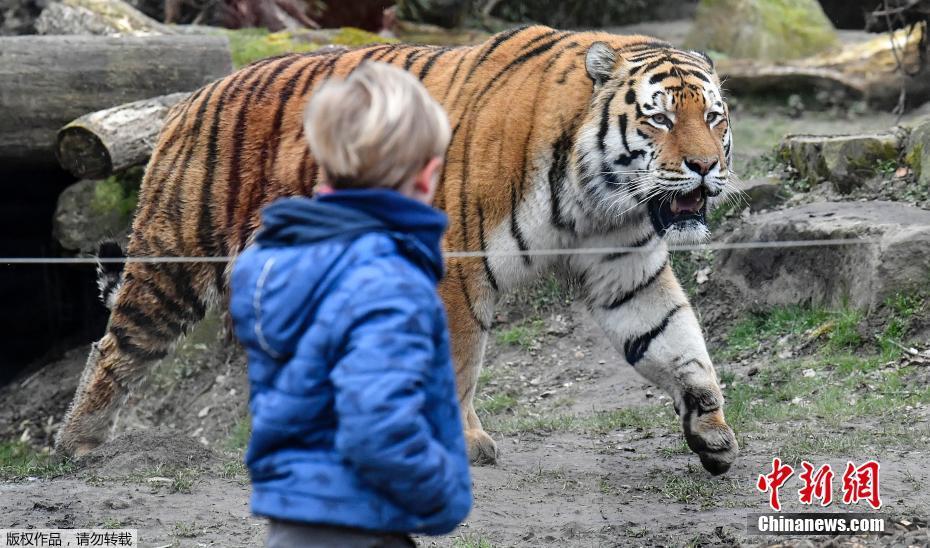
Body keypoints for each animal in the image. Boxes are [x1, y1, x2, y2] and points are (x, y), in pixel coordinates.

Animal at [56, 25, 740, 474]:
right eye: (658, 118)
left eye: (713, 117)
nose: (706, 167)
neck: (596, 197)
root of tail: (187, 99)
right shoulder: (456, 271)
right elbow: (459, 365)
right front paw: (462, 444)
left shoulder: (627, 267)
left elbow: (676, 340)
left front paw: (712, 430)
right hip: (175, 262)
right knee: (113, 348)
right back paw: (77, 443)